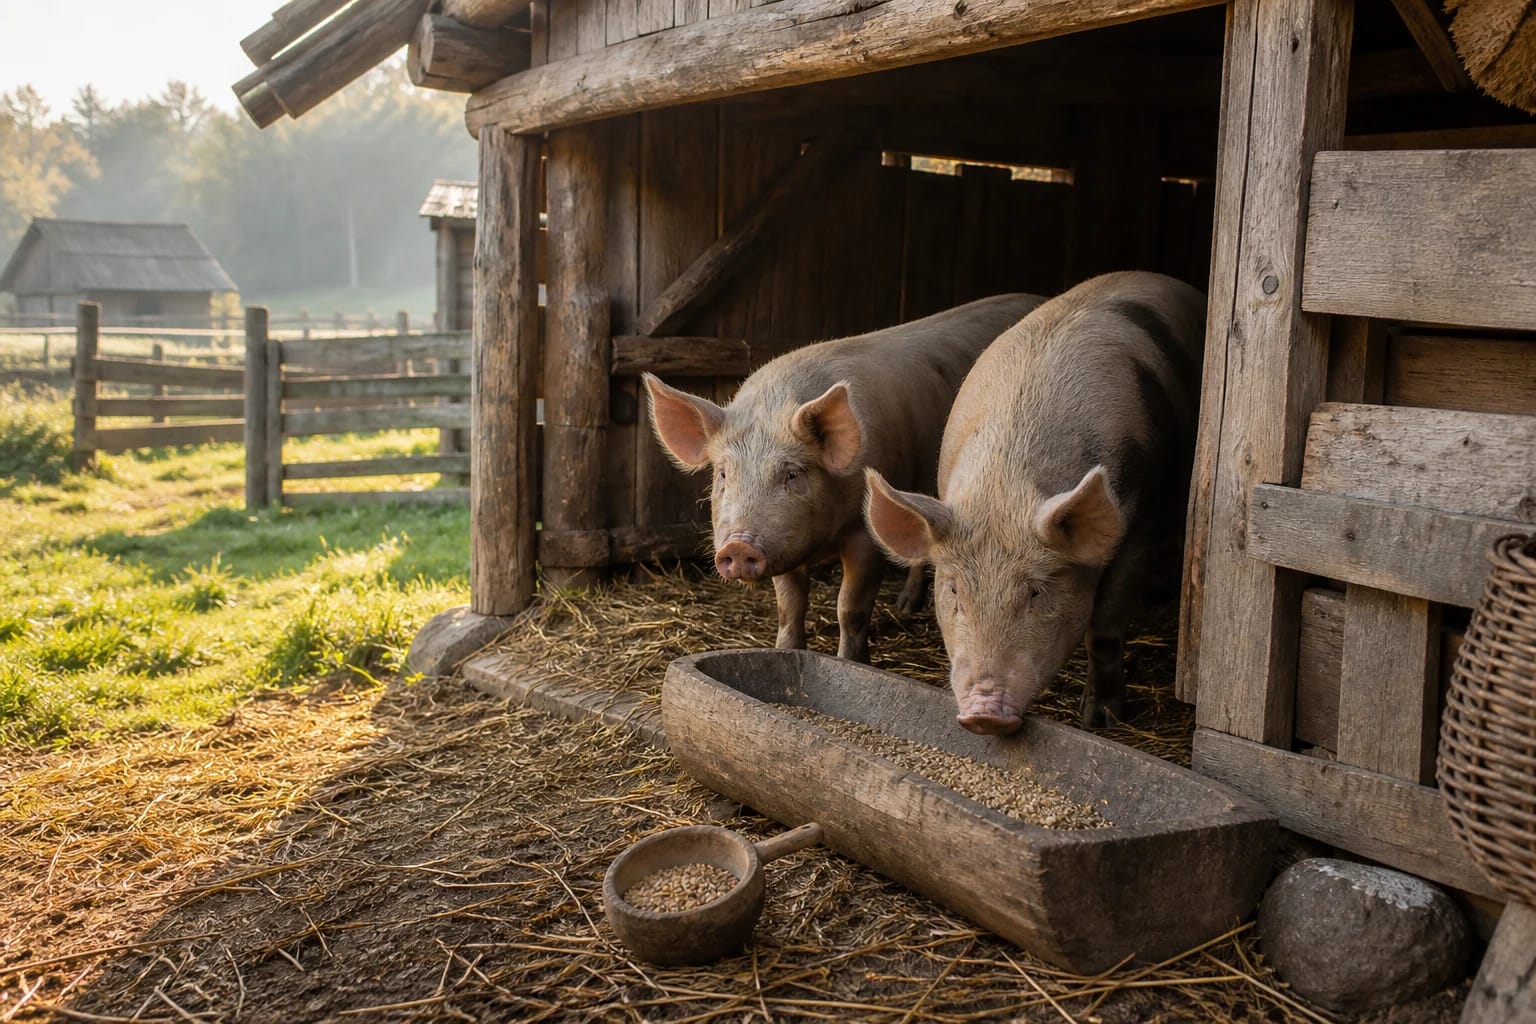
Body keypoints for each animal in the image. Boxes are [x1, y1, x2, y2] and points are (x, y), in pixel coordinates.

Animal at [642, 294, 1046, 663]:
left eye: (791, 474)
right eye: (724, 473)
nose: (739, 546)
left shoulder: (863, 531)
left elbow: (849, 606)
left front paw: (854, 663)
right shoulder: (784, 543)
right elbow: (790, 605)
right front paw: (786, 651)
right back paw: (904, 607)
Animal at [863, 272, 1205, 732]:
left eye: (1036, 592)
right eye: (954, 590)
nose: (983, 713)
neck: (1004, 490)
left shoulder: (1139, 529)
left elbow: (1105, 627)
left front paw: (1099, 721)